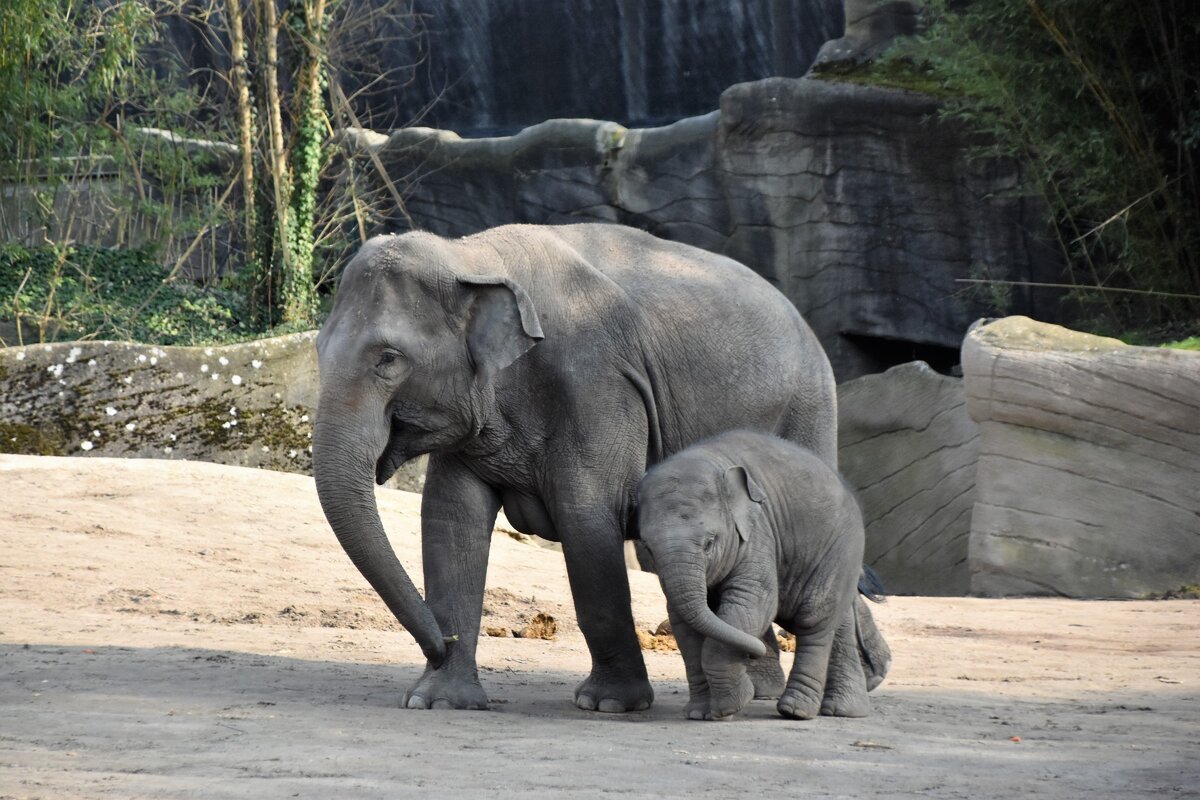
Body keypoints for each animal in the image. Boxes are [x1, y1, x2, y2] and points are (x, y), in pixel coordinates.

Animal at [312, 220, 835, 714]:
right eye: (316, 349)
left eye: (388, 359)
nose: (442, 643)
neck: (471, 255)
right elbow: (450, 518)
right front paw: (438, 700)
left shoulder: (597, 384)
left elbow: (587, 519)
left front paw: (610, 704)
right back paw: (760, 689)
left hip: (807, 413)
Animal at [638, 429, 873, 724]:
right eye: (647, 546)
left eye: (710, 542)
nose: (752, 653)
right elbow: (684, 623)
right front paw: (700, 712)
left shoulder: (758, 532)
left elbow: (752, 604)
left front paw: (729, 706)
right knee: (836, 622)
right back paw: (844, 710)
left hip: (839, 549)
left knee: (814, 620)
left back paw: (796, 711)